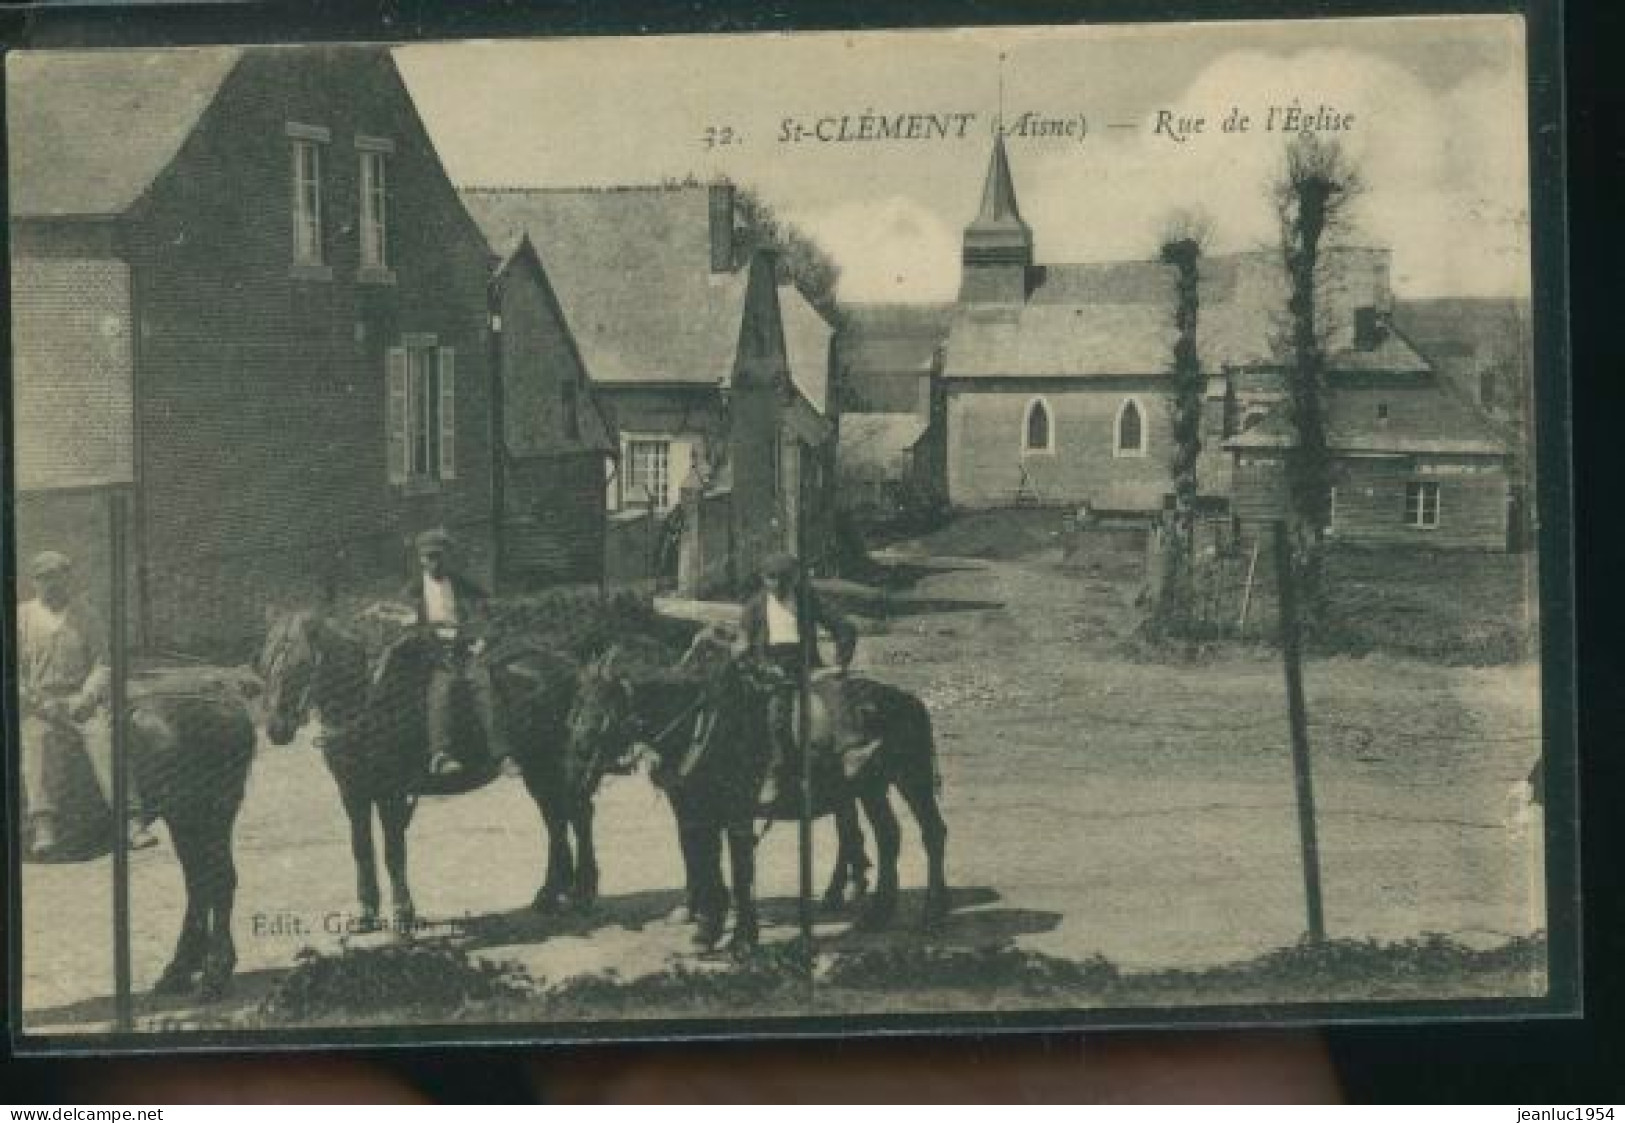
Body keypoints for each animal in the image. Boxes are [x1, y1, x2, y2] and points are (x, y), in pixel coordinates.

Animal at [23, 679, 256, 1007]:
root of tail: (226, 702)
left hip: (209, 813)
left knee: (218, 881)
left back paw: (214, 977)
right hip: (185, 820)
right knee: (199, 885)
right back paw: (178, 973)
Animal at [258, 611, 598, 936]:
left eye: (300, 664)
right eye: (266, 663)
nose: (276, 728)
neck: (369, 704)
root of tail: (568, 665)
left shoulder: (391, 793)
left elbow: (393, 851)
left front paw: (402, 915)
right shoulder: (352, 794)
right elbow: (362, 849)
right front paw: (366, 915)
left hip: (555, 764)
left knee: (578, 815)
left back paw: (582, 892)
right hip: (536, 769)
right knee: (555, 820)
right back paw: (550, 895)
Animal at [575, 637, 949, 955]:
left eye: (603, 705)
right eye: (581, 700)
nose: (579, 751)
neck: (702, 724)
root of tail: (909, 700)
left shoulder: (736, 815)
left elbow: (739, 872)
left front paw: (742, 938)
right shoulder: (696, 813)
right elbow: (704, 864)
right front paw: (706, 930)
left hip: (912, 779)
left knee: (931, 833)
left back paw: (933, 912)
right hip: (870, 787)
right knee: (887, 836)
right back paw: (877, 912)